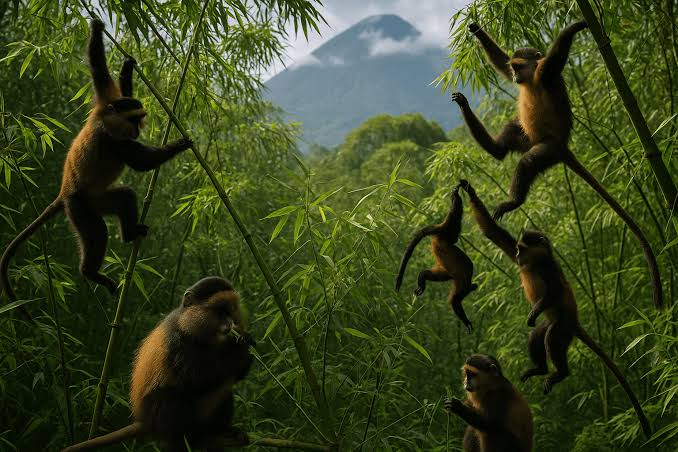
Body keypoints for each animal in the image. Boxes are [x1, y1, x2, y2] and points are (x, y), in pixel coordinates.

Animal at [0, 19, 193, 315]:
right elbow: (142, 163)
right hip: (80, 208)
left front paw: (119, 57)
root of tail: (64, 192)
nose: (138, 130)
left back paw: (129, 235)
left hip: (97, 200)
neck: (106, 118)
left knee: (124, 197)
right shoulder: (114, 141)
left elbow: (98, 68)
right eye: (134, 121)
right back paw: (90, 273)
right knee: (98, 231)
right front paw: (182, 143)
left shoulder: (107, 97)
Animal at [62, 276, 255, 452]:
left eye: (231, 312)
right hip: (157, 417)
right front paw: (238, 348)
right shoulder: (177, 340)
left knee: (224, 389)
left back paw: (221, 432)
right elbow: (195, 379)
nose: (230, 325)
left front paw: (245, 345)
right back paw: (188, 441)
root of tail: (143, 421)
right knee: (170, 396)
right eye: (220, 312)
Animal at [395, 184, 478, 332]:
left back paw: (422, 280)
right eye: (469, 292)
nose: (472, 288)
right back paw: (455, 197)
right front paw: (467, 322)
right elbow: (455, 302)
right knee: (455, 218)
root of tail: (440, 227)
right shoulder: (462, 288)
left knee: (431, 274)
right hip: (448, 232)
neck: (468, 284)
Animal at [451, 21, 662, 309]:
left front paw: (578, 25)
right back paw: (494, 149)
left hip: (547, 148)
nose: (515, 77)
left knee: (528, 160)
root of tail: (563, 147)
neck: (530, 79)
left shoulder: (545, 73)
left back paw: (514, 201)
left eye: (519, 68)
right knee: (510, 137)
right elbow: (500, 60)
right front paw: (475, 29)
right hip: (530, 139)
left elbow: (555, 58)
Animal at [458, 180, 652, 438]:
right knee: (536, 335)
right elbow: (492, 233)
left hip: (562, 327)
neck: (533, 263)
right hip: (553, 323)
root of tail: (573, 321)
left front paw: (535, 310)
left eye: (523, 249)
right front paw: (468, 190)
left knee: (551, 337)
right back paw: (540, 368)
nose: (518, 255)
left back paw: (560, 373)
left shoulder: (548, 266)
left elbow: (556, 290)